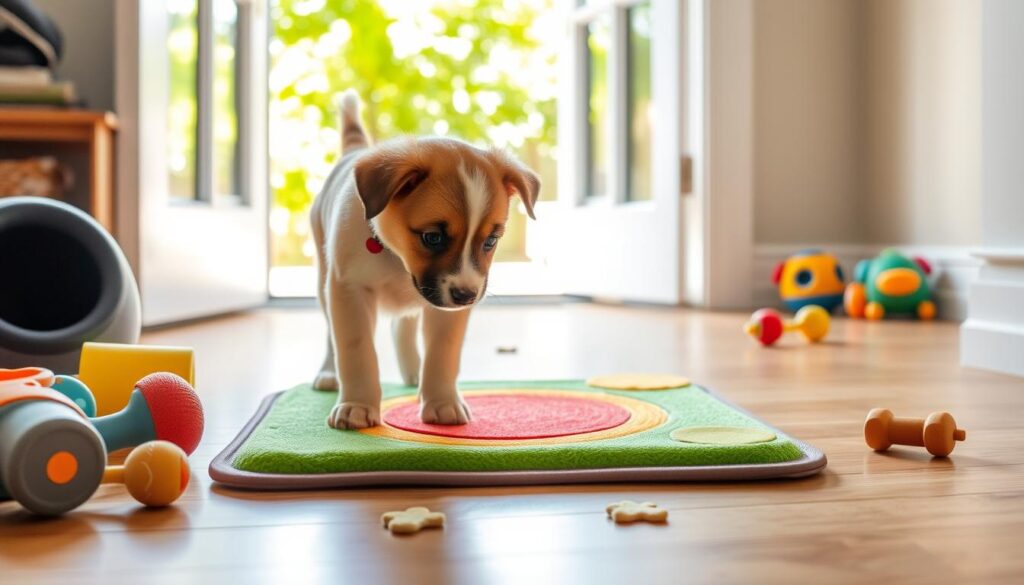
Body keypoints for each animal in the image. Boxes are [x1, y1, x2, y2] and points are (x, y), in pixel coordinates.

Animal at [307, 91, 540, 430]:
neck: (396, 258)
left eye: (490, 241)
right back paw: (328, 372)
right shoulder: (349, 290)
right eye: (432, 237)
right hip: (324, 280)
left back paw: (414, 370)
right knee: (330, 334)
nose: (467, 296)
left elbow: (442, 354)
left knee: (402, 325)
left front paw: (442, 402)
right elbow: (355, 350)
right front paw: (357, 405)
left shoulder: (446, 309)